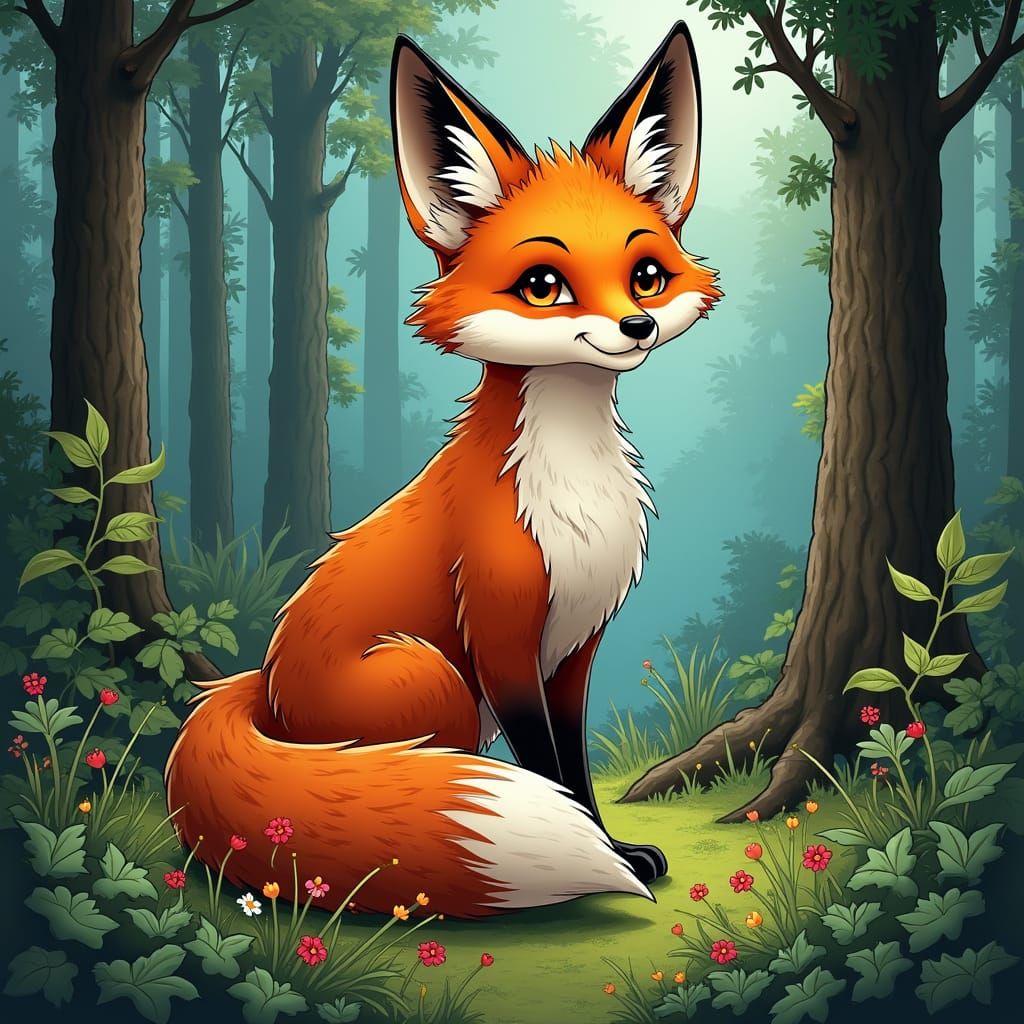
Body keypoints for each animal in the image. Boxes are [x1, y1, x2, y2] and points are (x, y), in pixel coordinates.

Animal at [164, 22, 720, 920]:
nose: (635, 327)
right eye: (543, 285)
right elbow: (547, 766)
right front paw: (607, 858)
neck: (571, 496)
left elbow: (575, 768)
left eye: (645, 276)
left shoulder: (574, 648)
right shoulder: (500, 633)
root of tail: (262, 687)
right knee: (418, 772)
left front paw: (615, 844)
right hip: (434, 677)